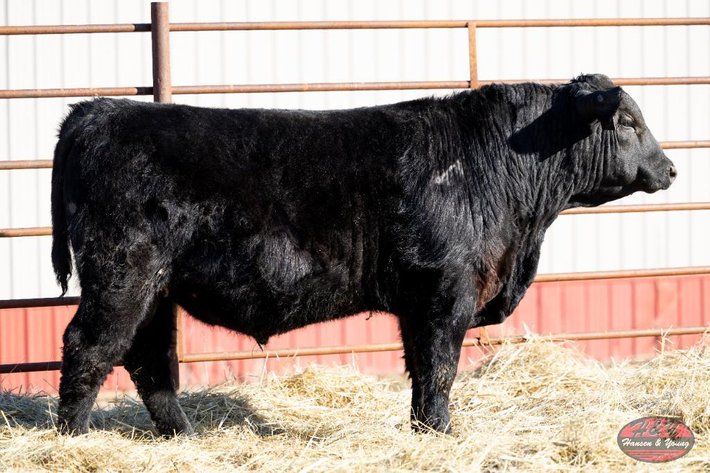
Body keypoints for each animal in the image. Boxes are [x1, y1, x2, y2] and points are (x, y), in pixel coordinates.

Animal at [51, 74, 675, 436]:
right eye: (627, 120)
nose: (669, 168)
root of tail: (95, 111)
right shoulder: (444, 291)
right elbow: (439, 367)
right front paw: (442, 433)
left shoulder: (419, 302)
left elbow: (421, 370)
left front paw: (424, 430)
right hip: (123, 274)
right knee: (89, 345)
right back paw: (73, 436)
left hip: (157, 288)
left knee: (148, 359)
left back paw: (183, 435)